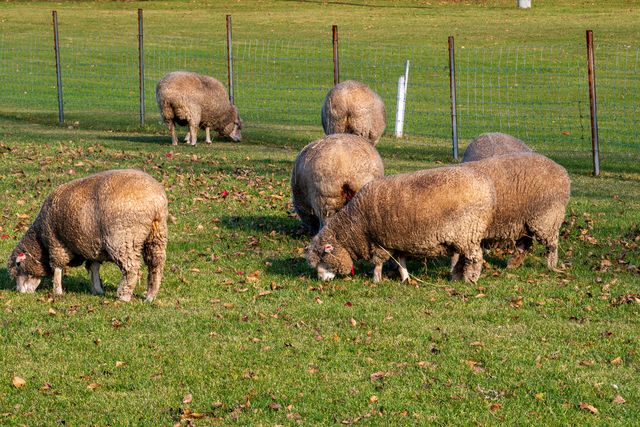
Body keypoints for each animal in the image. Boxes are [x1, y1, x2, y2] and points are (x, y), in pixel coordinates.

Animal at [6, 169, 169, 302]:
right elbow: (94, 267)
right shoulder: (91, 245)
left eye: (18, 265)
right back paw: (150, 296)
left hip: (124, 238)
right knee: (156, 264)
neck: (40, 239)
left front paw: (57, 291)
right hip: (157, 235)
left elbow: (57, 268)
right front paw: (97, 289)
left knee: (132, 268)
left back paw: (124, 296)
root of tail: (155, 202)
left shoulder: (56, 243)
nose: (19, 292)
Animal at [308, 167, 498, 284]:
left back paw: (470, 279)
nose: (320, 280)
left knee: (474, 258)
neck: (355, 225)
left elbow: (378, 263)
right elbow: (400, 262)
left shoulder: (379, 242)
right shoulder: (397, 242)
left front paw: (376, 280)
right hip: (461, 236)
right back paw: (457, 278)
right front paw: (405, 279)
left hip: (468, 232)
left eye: (323, 257)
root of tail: (489, 185)